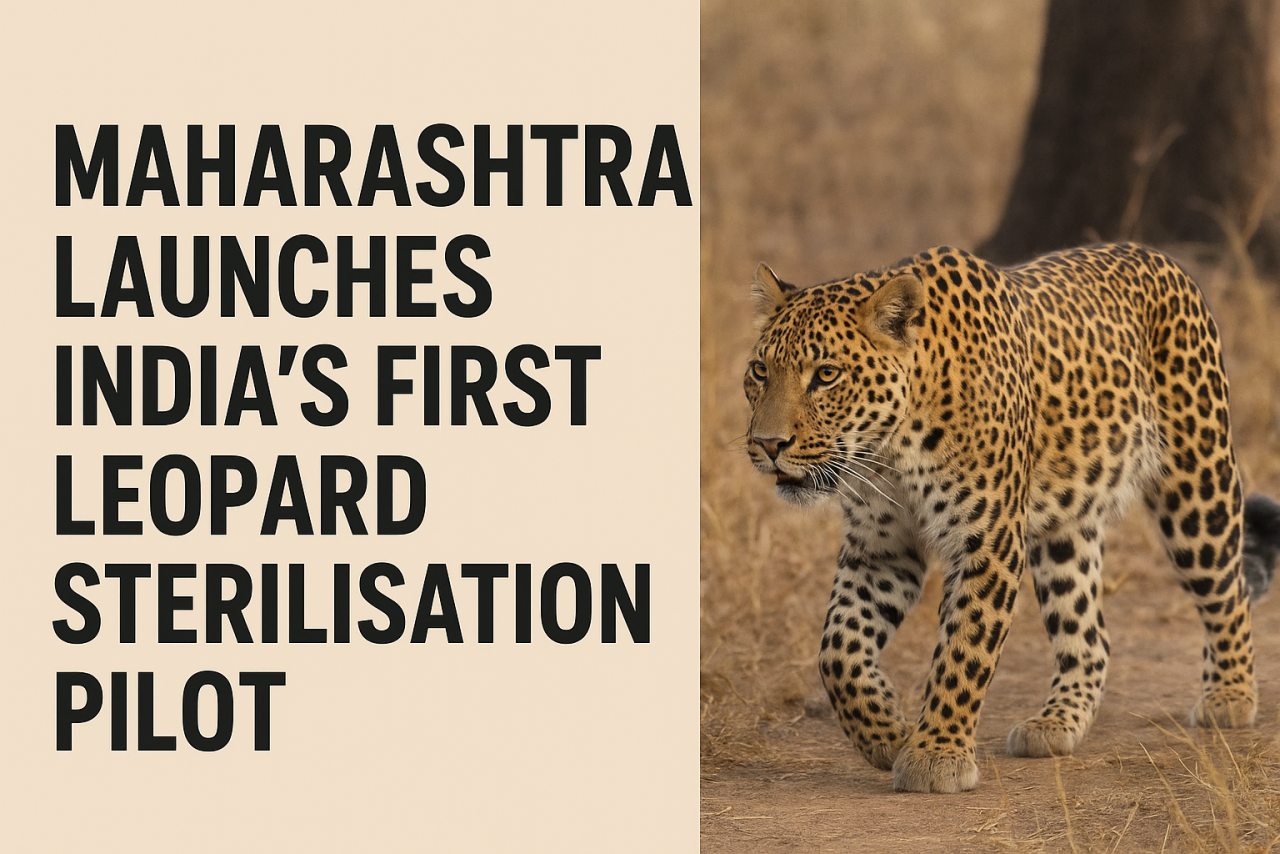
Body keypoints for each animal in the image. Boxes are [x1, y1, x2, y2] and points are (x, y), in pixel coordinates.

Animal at [743, 242, 1280, 793]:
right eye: (760, 370)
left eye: (826, 375)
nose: (767, 444)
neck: (888, 451)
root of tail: (1158, 257)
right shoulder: (881, 548)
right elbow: (838, 648)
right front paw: (886, 734)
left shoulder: (987, 538)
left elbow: (964, 648)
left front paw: (936, 755)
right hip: (1067, 531)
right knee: (1090, 634)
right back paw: (1057, 722)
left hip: (1198, 485)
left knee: (1228, 588)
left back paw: (1230, 696)